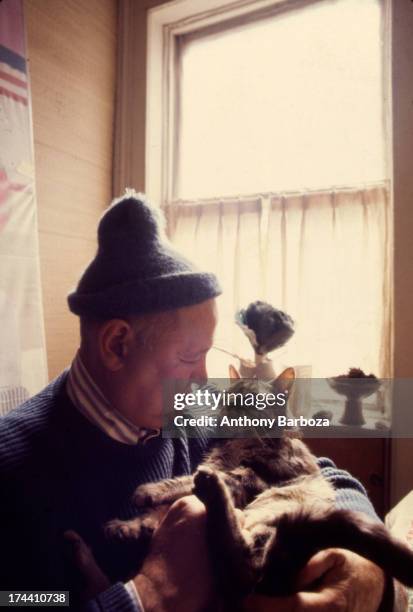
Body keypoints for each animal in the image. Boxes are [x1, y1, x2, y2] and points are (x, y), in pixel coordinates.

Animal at [104, 368, 412, 608]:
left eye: (251, 400)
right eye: (228, 397)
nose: (231, 409)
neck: (239, 441)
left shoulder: (252, 475)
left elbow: (184, 481)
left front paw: (148, 493)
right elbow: (162, 507)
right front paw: (130, 525)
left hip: (271, 509)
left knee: (242, 569)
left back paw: (210, 488)